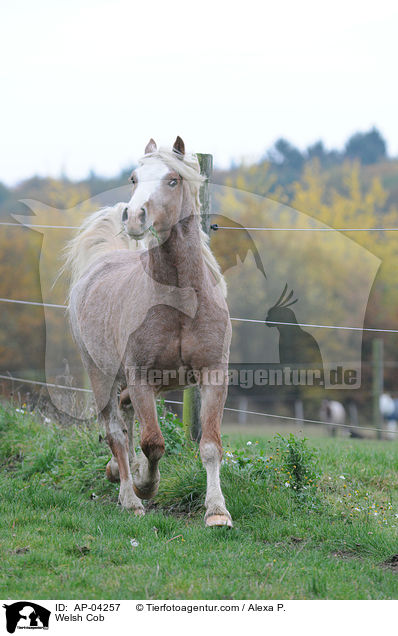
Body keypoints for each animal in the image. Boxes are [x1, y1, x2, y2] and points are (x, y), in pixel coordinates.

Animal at [65, 138, 233, 528]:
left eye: (173, 179)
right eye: (133, 178)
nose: (134, 217)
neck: (181, 302)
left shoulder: (212, 373)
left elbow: (210, 446)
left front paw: (217, 512)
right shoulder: (140, 376)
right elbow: (152, 442)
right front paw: (145, 486)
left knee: (124, 418)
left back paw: (118, 473)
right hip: (101, 375)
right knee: (116, 431)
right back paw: (129, 497)